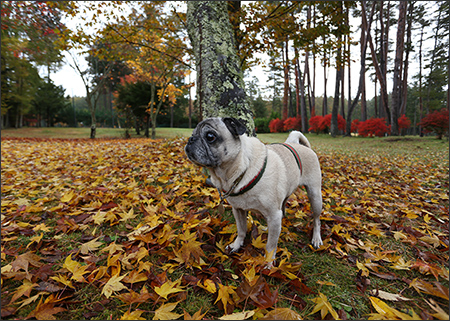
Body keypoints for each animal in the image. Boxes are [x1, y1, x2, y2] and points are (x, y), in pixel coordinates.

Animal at [184, 117, 324, 262]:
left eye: (210, 136)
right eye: (193, 134)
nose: (191, 139)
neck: (241, 170)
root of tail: (303, 147)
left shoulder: (273, 216)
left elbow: (271, 245)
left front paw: (268, 262)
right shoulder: (238, 210)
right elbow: (241, 230)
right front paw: (237, 245)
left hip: (315, 196)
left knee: (316, 219)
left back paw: (316, 238)